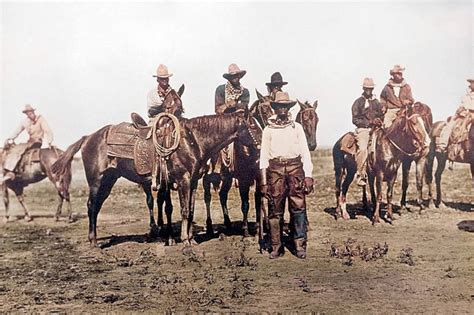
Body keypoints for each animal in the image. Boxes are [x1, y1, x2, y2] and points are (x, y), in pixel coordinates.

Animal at [51, 111, 256, 247]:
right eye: (253, 125)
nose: (259, 147)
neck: (192, 140)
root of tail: (88, 138)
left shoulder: (193, 182)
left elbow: (189, 210)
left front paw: (191, 238)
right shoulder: (183, 180)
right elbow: (183, 210)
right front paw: (185, 240)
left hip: (108, 181)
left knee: (96, 206)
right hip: (96, 182)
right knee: (91, 206)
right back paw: (93, 241)